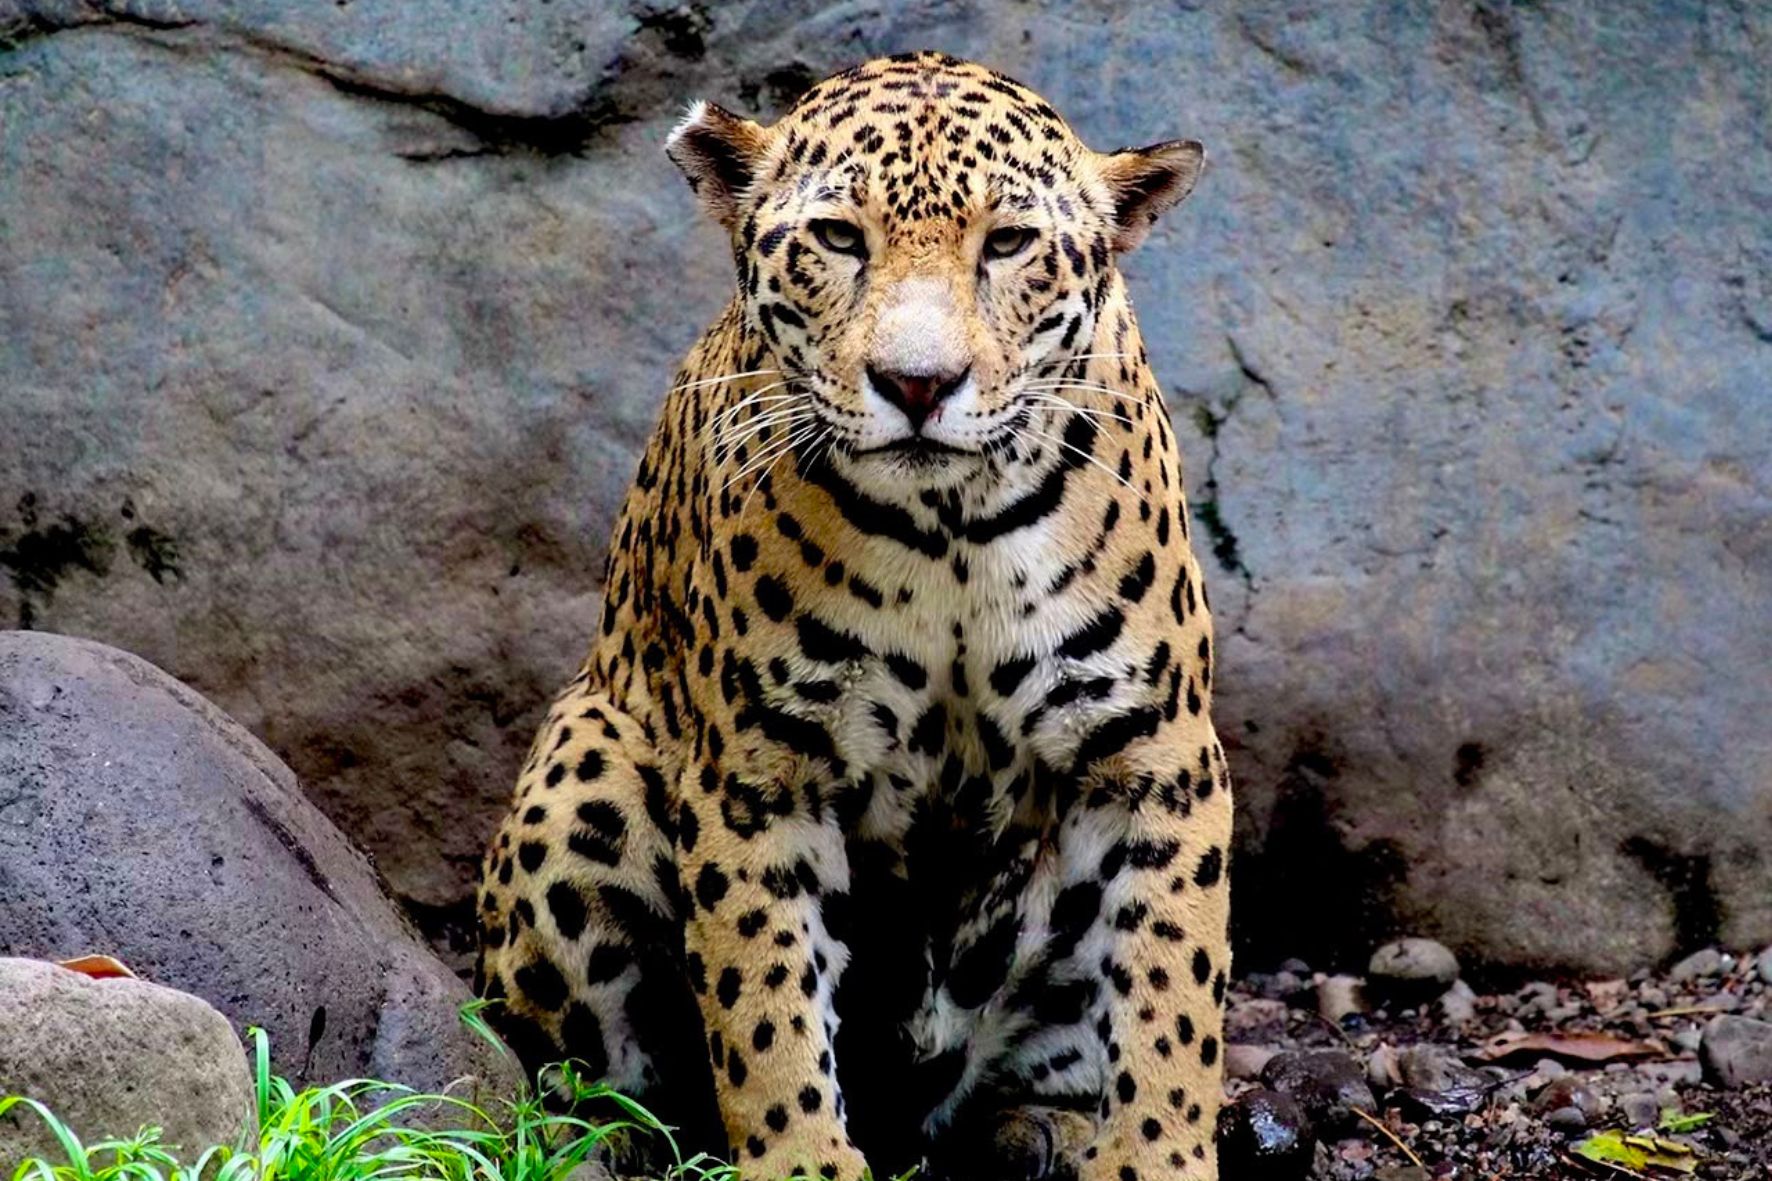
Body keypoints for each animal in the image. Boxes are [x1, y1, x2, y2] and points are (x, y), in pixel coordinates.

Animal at [475, 51, 1231, 1181]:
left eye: (1007, 244)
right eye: (837, 238)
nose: (918, 384)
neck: (953, 526)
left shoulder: (1154, 751)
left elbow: (1172, 991)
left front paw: (1156, 1156)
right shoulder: (758, 770)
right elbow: (763, 1004)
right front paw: (800, 1160)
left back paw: (1042, 1128)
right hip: (582, 764)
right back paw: (587, 1142)